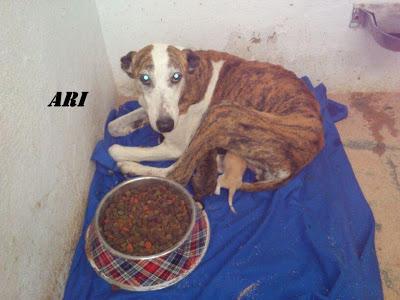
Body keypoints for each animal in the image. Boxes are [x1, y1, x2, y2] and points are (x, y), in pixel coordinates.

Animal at [107, 43, 324, 212]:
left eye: (176, 76)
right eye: (144, 78)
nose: (166, 126)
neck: (192, 79)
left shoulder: (175, 147)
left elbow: (114, 149)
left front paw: (125, 153)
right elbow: (112, 125)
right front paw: (131, 124)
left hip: (221, 113)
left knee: (177, 174)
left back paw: (131, 167)